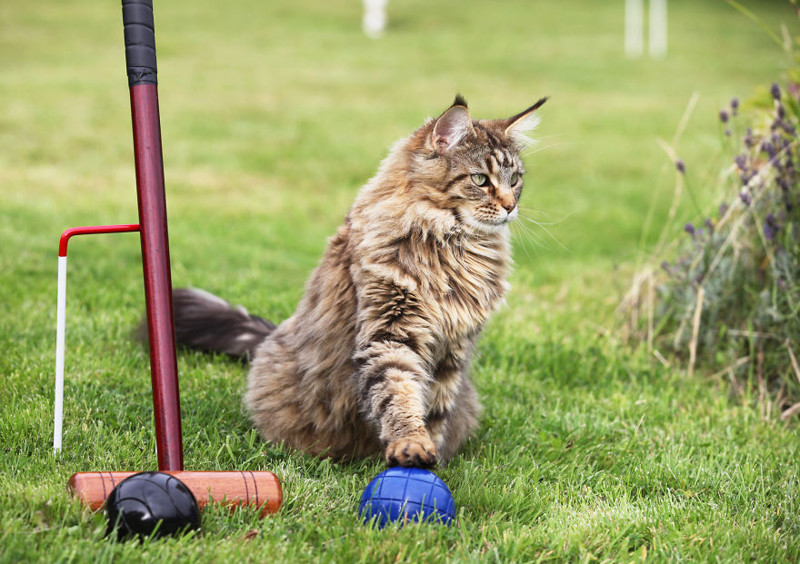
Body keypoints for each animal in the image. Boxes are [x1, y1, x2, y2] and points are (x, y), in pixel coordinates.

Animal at [173, 97, 552, 468]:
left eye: (515, 180)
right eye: (480, 179)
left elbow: (434, 409)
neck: (454, 245)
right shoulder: (390, 330)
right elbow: (399, 393)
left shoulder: (453, 349)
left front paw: (433, 459)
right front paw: (411, 445)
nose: (511, 206)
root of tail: (269, 336)